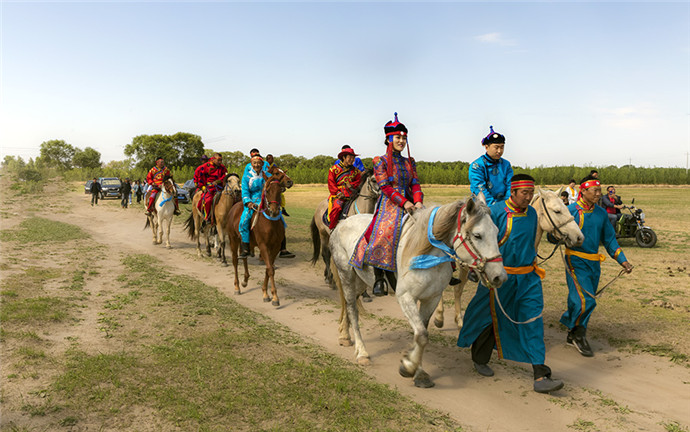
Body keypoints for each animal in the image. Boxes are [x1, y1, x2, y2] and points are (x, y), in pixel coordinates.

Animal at [328, 195, 506, 388]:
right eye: (477, 235)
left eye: (496, 232)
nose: (500, 276)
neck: (426, 254)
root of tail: (341, 224)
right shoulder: (406, 297)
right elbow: (421, 334)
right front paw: (408, 367)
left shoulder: (431, 298)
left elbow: (422, 333)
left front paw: (418, 372)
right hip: (346, 274)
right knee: (352, 309)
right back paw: (361, 352)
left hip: (360, 281)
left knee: (349, 303)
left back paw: (344, 335)